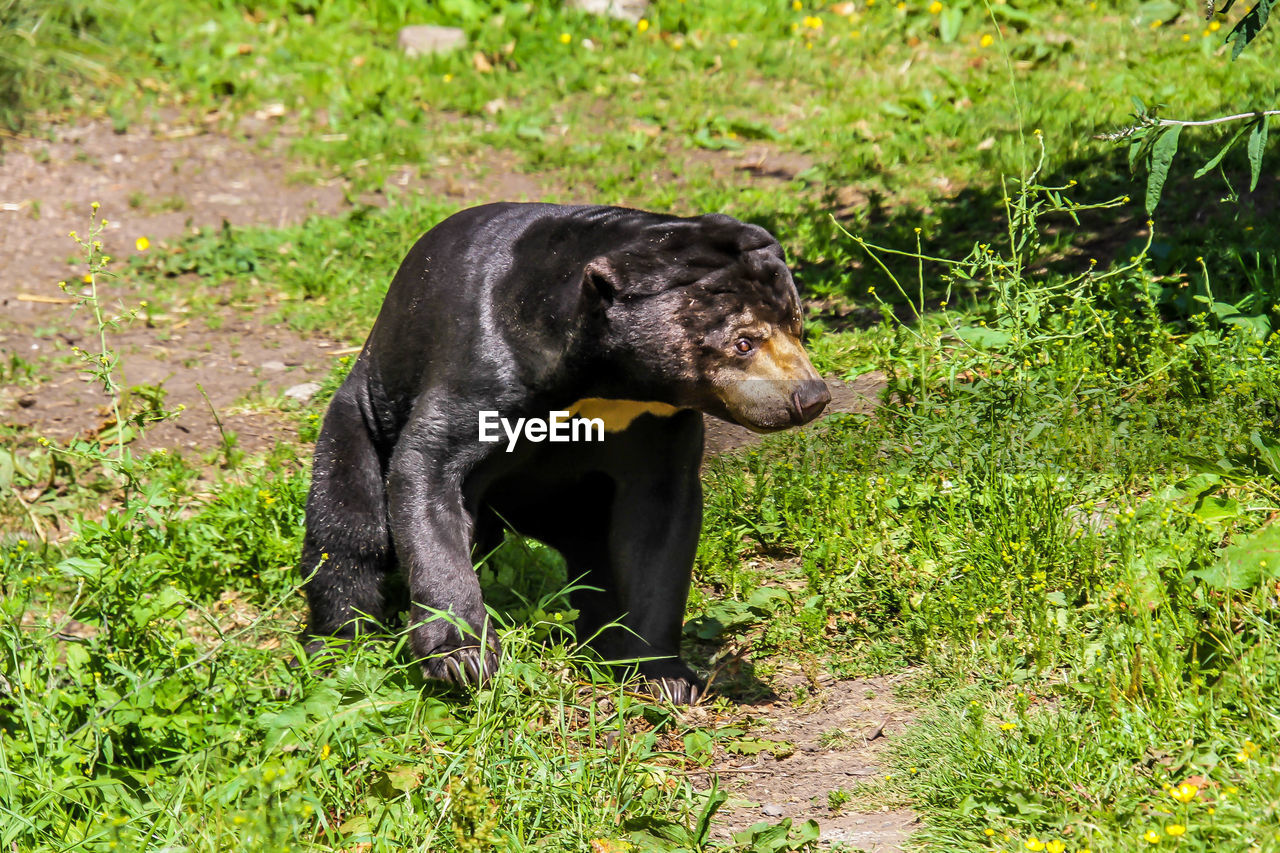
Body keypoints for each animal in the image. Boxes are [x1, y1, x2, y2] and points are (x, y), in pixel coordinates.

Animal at [298, 201, 829, 696]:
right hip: (358, 418)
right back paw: (336, 647)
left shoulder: (658, 422)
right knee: (346, 532)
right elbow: (428, 470)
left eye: (798, 326)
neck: (605, 381)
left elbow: (661, 525)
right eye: (743, 343)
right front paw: (463, 656)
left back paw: (602, 639)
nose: (811, 397)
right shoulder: (485, 366)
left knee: (595, 560)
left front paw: (666, 675)